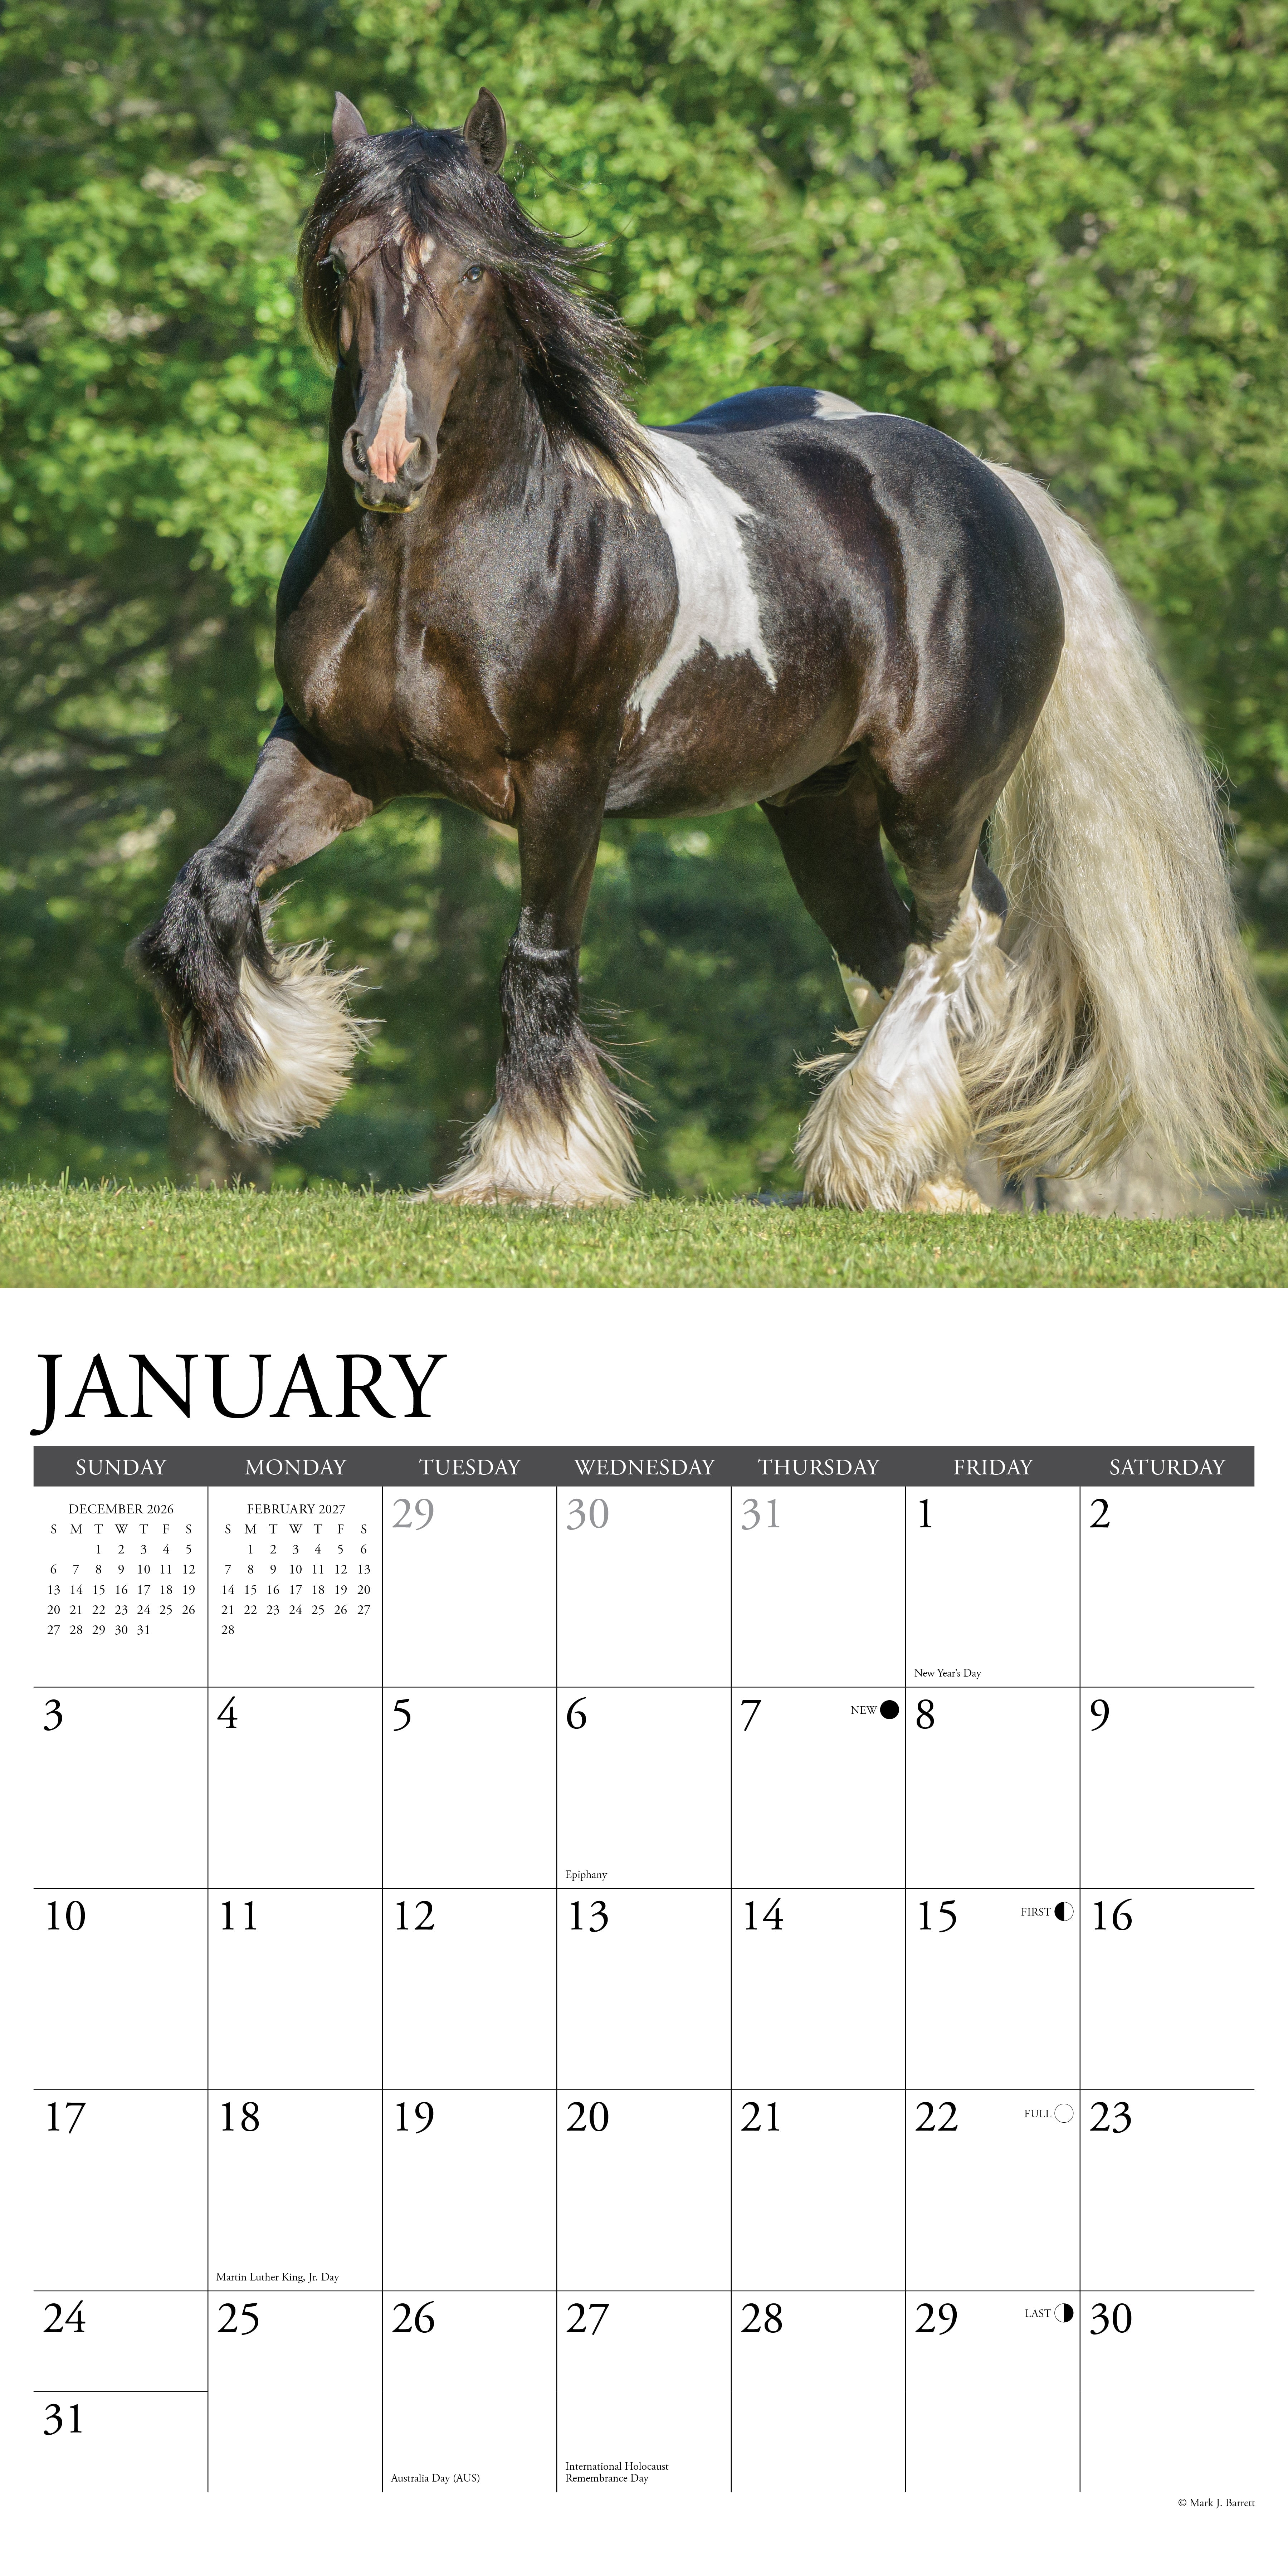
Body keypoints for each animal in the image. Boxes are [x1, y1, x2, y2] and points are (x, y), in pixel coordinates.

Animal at [133, 87, 1285, 1209]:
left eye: (474, 268)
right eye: (338, 264)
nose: (387, 458)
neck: (426, 572)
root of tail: (996, 486)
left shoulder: (565, 779)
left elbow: (537, 957)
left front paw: (532, 1172)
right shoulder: (332, 757)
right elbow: (207, 884)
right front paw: (277, 1075)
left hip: (937, 795)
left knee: (959, 937)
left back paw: (877, 1151)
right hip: (820, 810)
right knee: (895, 951)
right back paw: (920, 1175)